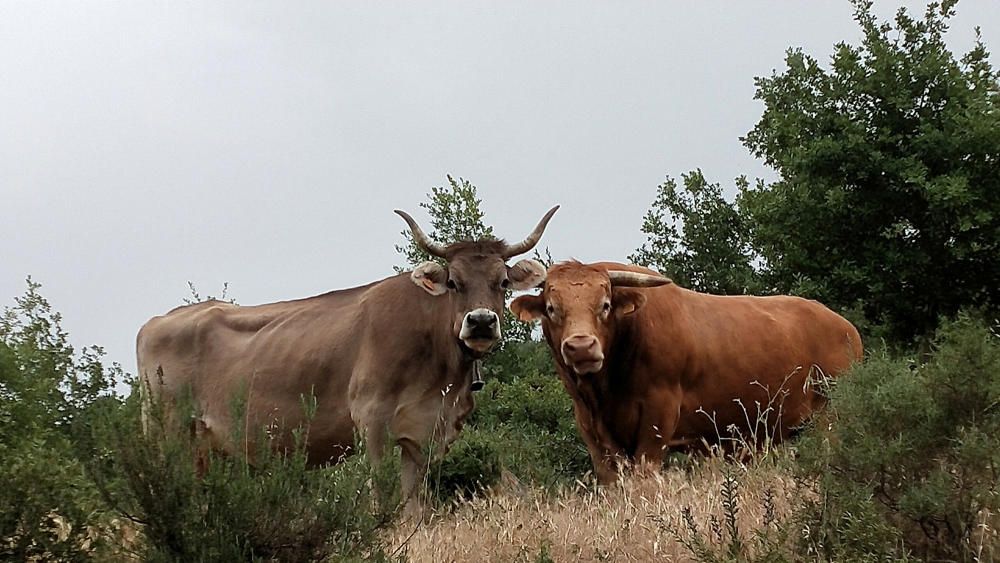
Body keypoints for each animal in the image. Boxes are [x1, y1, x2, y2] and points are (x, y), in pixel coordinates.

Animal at [135, 207, 556, 516]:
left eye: (503, 282)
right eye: (454, 282)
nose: (481, 322)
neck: (442, 376)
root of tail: (157, 321)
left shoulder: (425, 433)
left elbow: (414, 506)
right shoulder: (370, 417)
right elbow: (380, 494)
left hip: (203, 446)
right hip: (165, 431)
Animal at [512, 262, 864, 482]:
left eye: (605, 305)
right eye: (552, 309)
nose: (582, 347)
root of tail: (844, 326)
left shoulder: (659, 417)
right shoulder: (592, 429)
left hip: (830, 418)